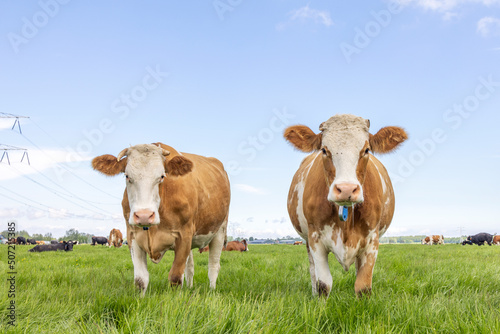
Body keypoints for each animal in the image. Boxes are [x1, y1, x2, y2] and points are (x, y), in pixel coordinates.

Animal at [92, 143, 230, 294]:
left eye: (162, 176)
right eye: (127, 176)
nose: (144, 215)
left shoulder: (184, 235)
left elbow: (175, 277)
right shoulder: (132, 235)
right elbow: (140, 279)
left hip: (220, 230)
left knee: (213, 266)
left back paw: (211, 290)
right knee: (190, 267)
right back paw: (190, 287)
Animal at [284, 115, 408, 298]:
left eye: (366, 150)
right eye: (324, 150)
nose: (346, 189)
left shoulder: (372, 240)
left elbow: (363, 286)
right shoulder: (315, 238)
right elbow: (323, 285)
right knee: (313, 271)